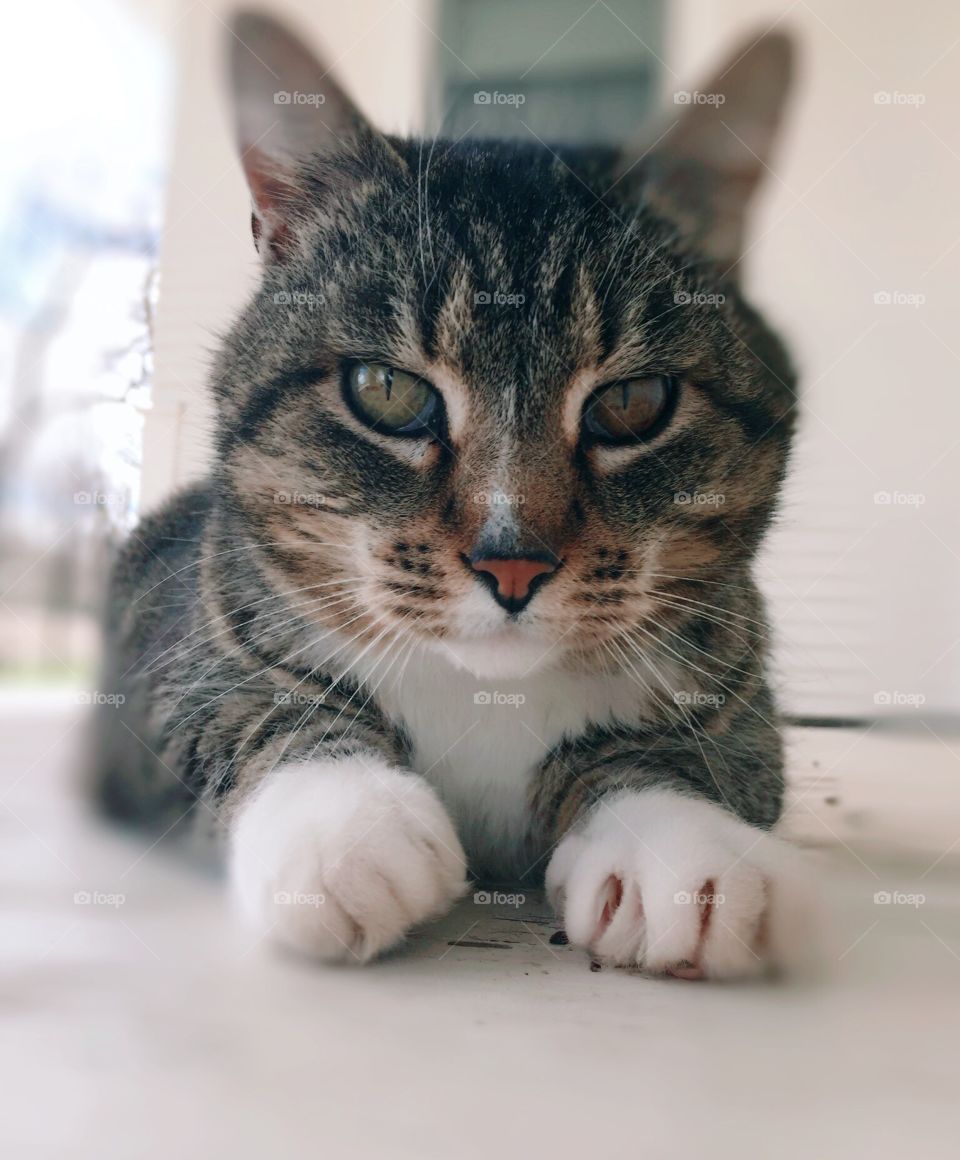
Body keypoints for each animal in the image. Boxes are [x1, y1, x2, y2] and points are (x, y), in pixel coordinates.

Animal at [89, 11, 811, 979]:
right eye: (387, 391)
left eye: (631, 403)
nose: (512, 563)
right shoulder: (168, 660)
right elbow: (245, 705)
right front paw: (344, 820)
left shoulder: (739, 699)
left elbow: (687, 756)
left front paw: (683, 845)